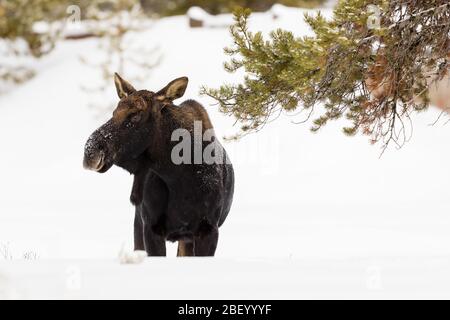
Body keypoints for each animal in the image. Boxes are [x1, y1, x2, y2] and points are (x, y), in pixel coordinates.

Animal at [82, 74, 236, 256]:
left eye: (135, 115)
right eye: (114, 112)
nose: (91, 151)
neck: (179, 178)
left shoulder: (208, 230)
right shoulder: (150, 227)